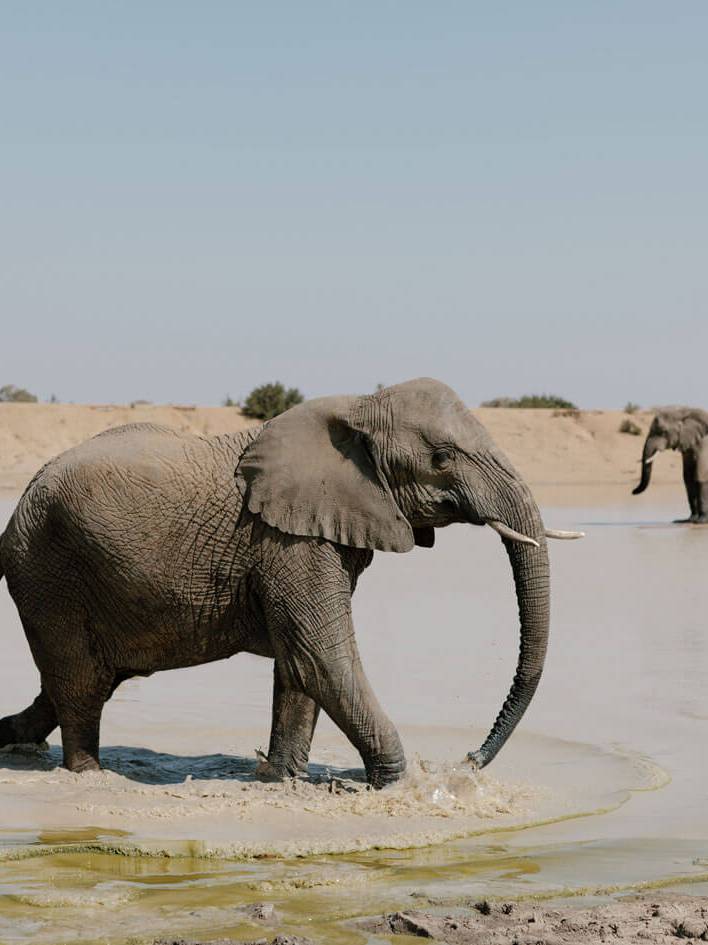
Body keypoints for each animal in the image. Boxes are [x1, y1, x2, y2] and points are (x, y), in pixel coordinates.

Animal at [0, 378, 581, 787]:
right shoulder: (285, 540)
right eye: (442, 457)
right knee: (79, 684)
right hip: (46, 570)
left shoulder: (308, 533)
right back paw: (91, 778)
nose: (467, 760)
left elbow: (297, 664)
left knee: (83, 682)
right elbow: (320, 656)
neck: (361, 406)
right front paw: (402, 787)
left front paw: (280, 779)